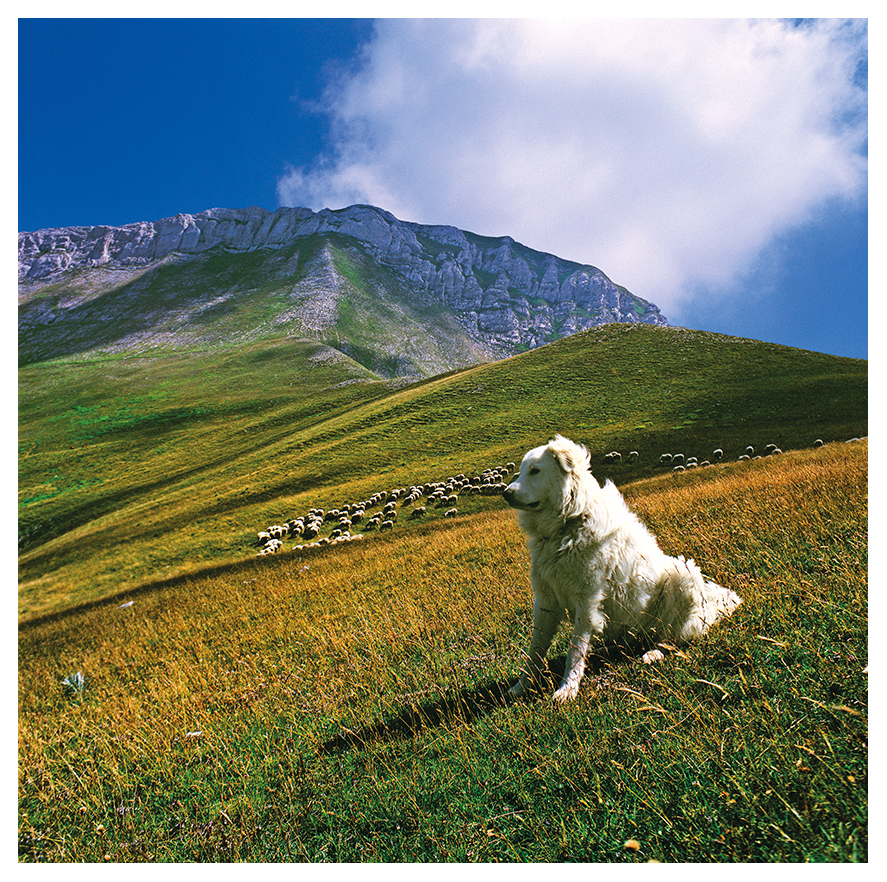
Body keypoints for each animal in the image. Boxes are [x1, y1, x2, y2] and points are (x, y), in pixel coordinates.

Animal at [502, 434, 740, 700]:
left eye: (535, 471)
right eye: (520, 472)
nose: (505, 493)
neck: (567, 525)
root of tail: (707, 608)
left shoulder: (587, 600)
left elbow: (575, 650)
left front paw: (567, 689)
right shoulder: (545, 600)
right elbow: (535, 650)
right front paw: (521, 687)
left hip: (682, 575)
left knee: (670, 637)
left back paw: (653, 654)